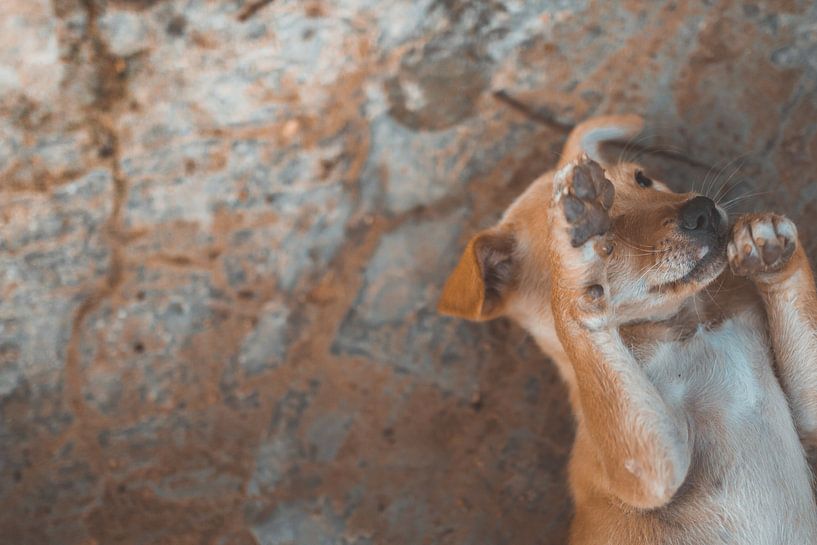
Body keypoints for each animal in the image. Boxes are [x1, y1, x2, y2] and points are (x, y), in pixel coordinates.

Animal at [440, 116, 817, 544]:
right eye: (604, 233)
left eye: (642, 178)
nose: (702, 210)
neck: (683, 328)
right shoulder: (649, 468)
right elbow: (576, 316)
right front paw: (573, 258)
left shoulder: (808, 413)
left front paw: (767, 244)